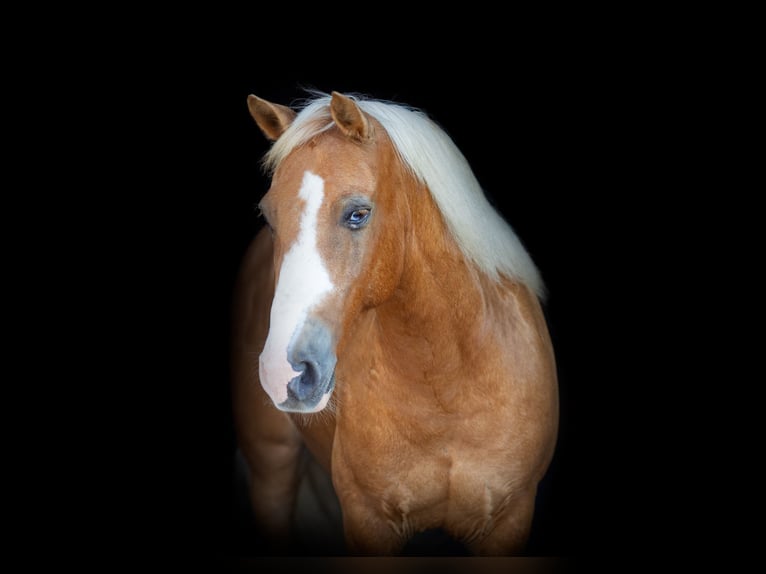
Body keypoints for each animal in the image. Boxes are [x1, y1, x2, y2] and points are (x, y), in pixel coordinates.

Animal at [231, 91, 560, 560]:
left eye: (357, 214)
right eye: (270, 216)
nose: (284, 372)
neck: (446, 385)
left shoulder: (508, 521)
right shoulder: (369, 522)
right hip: (272, 468)